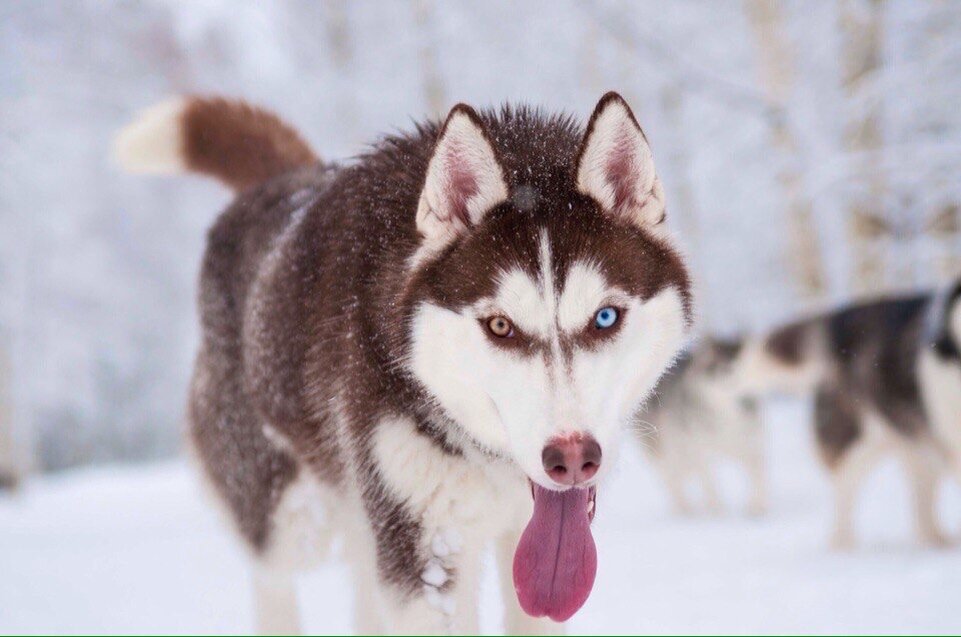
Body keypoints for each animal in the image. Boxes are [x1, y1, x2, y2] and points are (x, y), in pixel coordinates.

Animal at [116, 93, 692, 632]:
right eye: (500, 326)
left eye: (605, 317)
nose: (571, 458)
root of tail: (282, 183)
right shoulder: (423, 552)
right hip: (290, 519)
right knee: (272, 579)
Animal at [636, 336, 764, 516]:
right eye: (729, 371)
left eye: (753, 373)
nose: (748, 397)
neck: (727, 420)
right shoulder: (701, 454)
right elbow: (711, 486)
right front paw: (717, 512)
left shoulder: (753, 446)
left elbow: (758, 478)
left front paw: (757, 508)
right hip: (666, 454)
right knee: (673, 483)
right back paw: (685, 511)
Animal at [736, 280, 960, 548]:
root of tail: (838, 319)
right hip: (859, 445)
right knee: (844, 500)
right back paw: (844, 547)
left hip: (916, 445)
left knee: (922, 514)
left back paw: (938, 541)